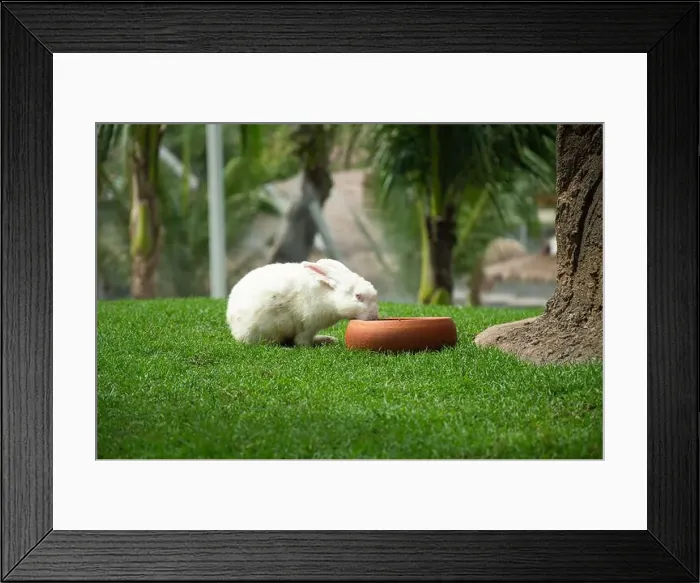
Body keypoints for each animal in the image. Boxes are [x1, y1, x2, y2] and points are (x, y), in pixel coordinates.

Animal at [226, 258, 380, 347]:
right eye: (358, 296)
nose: (374, 317)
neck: (329, 297)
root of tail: (234, 328)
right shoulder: (308, 325)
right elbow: (302, 340)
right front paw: (307, 347)